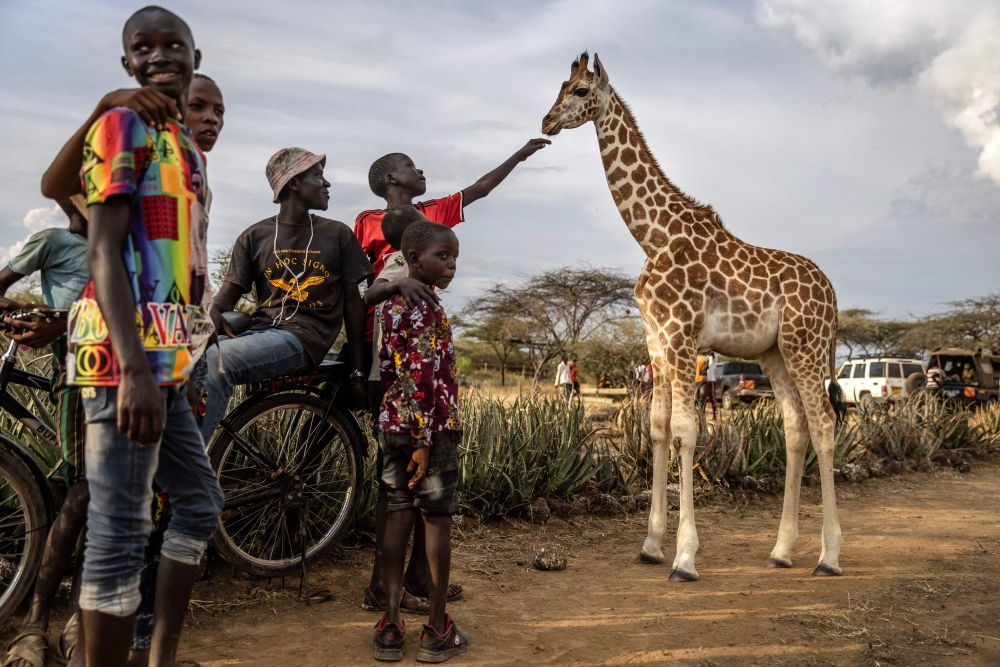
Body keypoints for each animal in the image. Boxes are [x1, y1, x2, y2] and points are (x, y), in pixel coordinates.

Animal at [542, 52, 846, 580]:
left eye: (580, 91)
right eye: (560, 85)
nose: (546, 122)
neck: (654, 235)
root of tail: (832, 293)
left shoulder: (682, 337)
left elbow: (686, 433)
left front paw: (684, 558)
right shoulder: (656, 343)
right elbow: (658, 430)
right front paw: (651, 545)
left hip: (805, 346)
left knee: (825, 423)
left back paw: (829, 557)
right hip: (775, 353)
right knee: (795, 425)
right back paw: (781, 550)